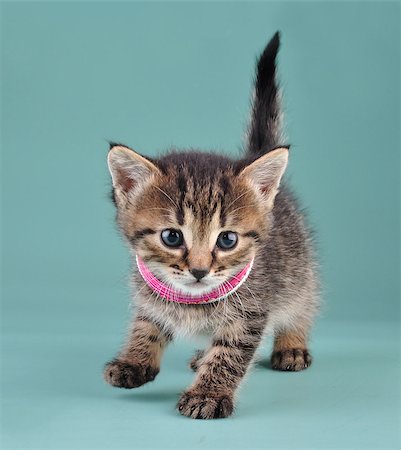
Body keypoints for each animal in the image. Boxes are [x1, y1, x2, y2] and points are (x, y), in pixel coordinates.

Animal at [103, 31, 318, 418]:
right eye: (172, 237)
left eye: (227, 240)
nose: (200, 271)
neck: (192, 300)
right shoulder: (148, 294)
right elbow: (146, 323)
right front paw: (134, 358)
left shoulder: (251, 313)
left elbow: (230, 354)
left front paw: (209, 393)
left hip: (299, 267)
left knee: (302, 300)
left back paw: (291, 344)